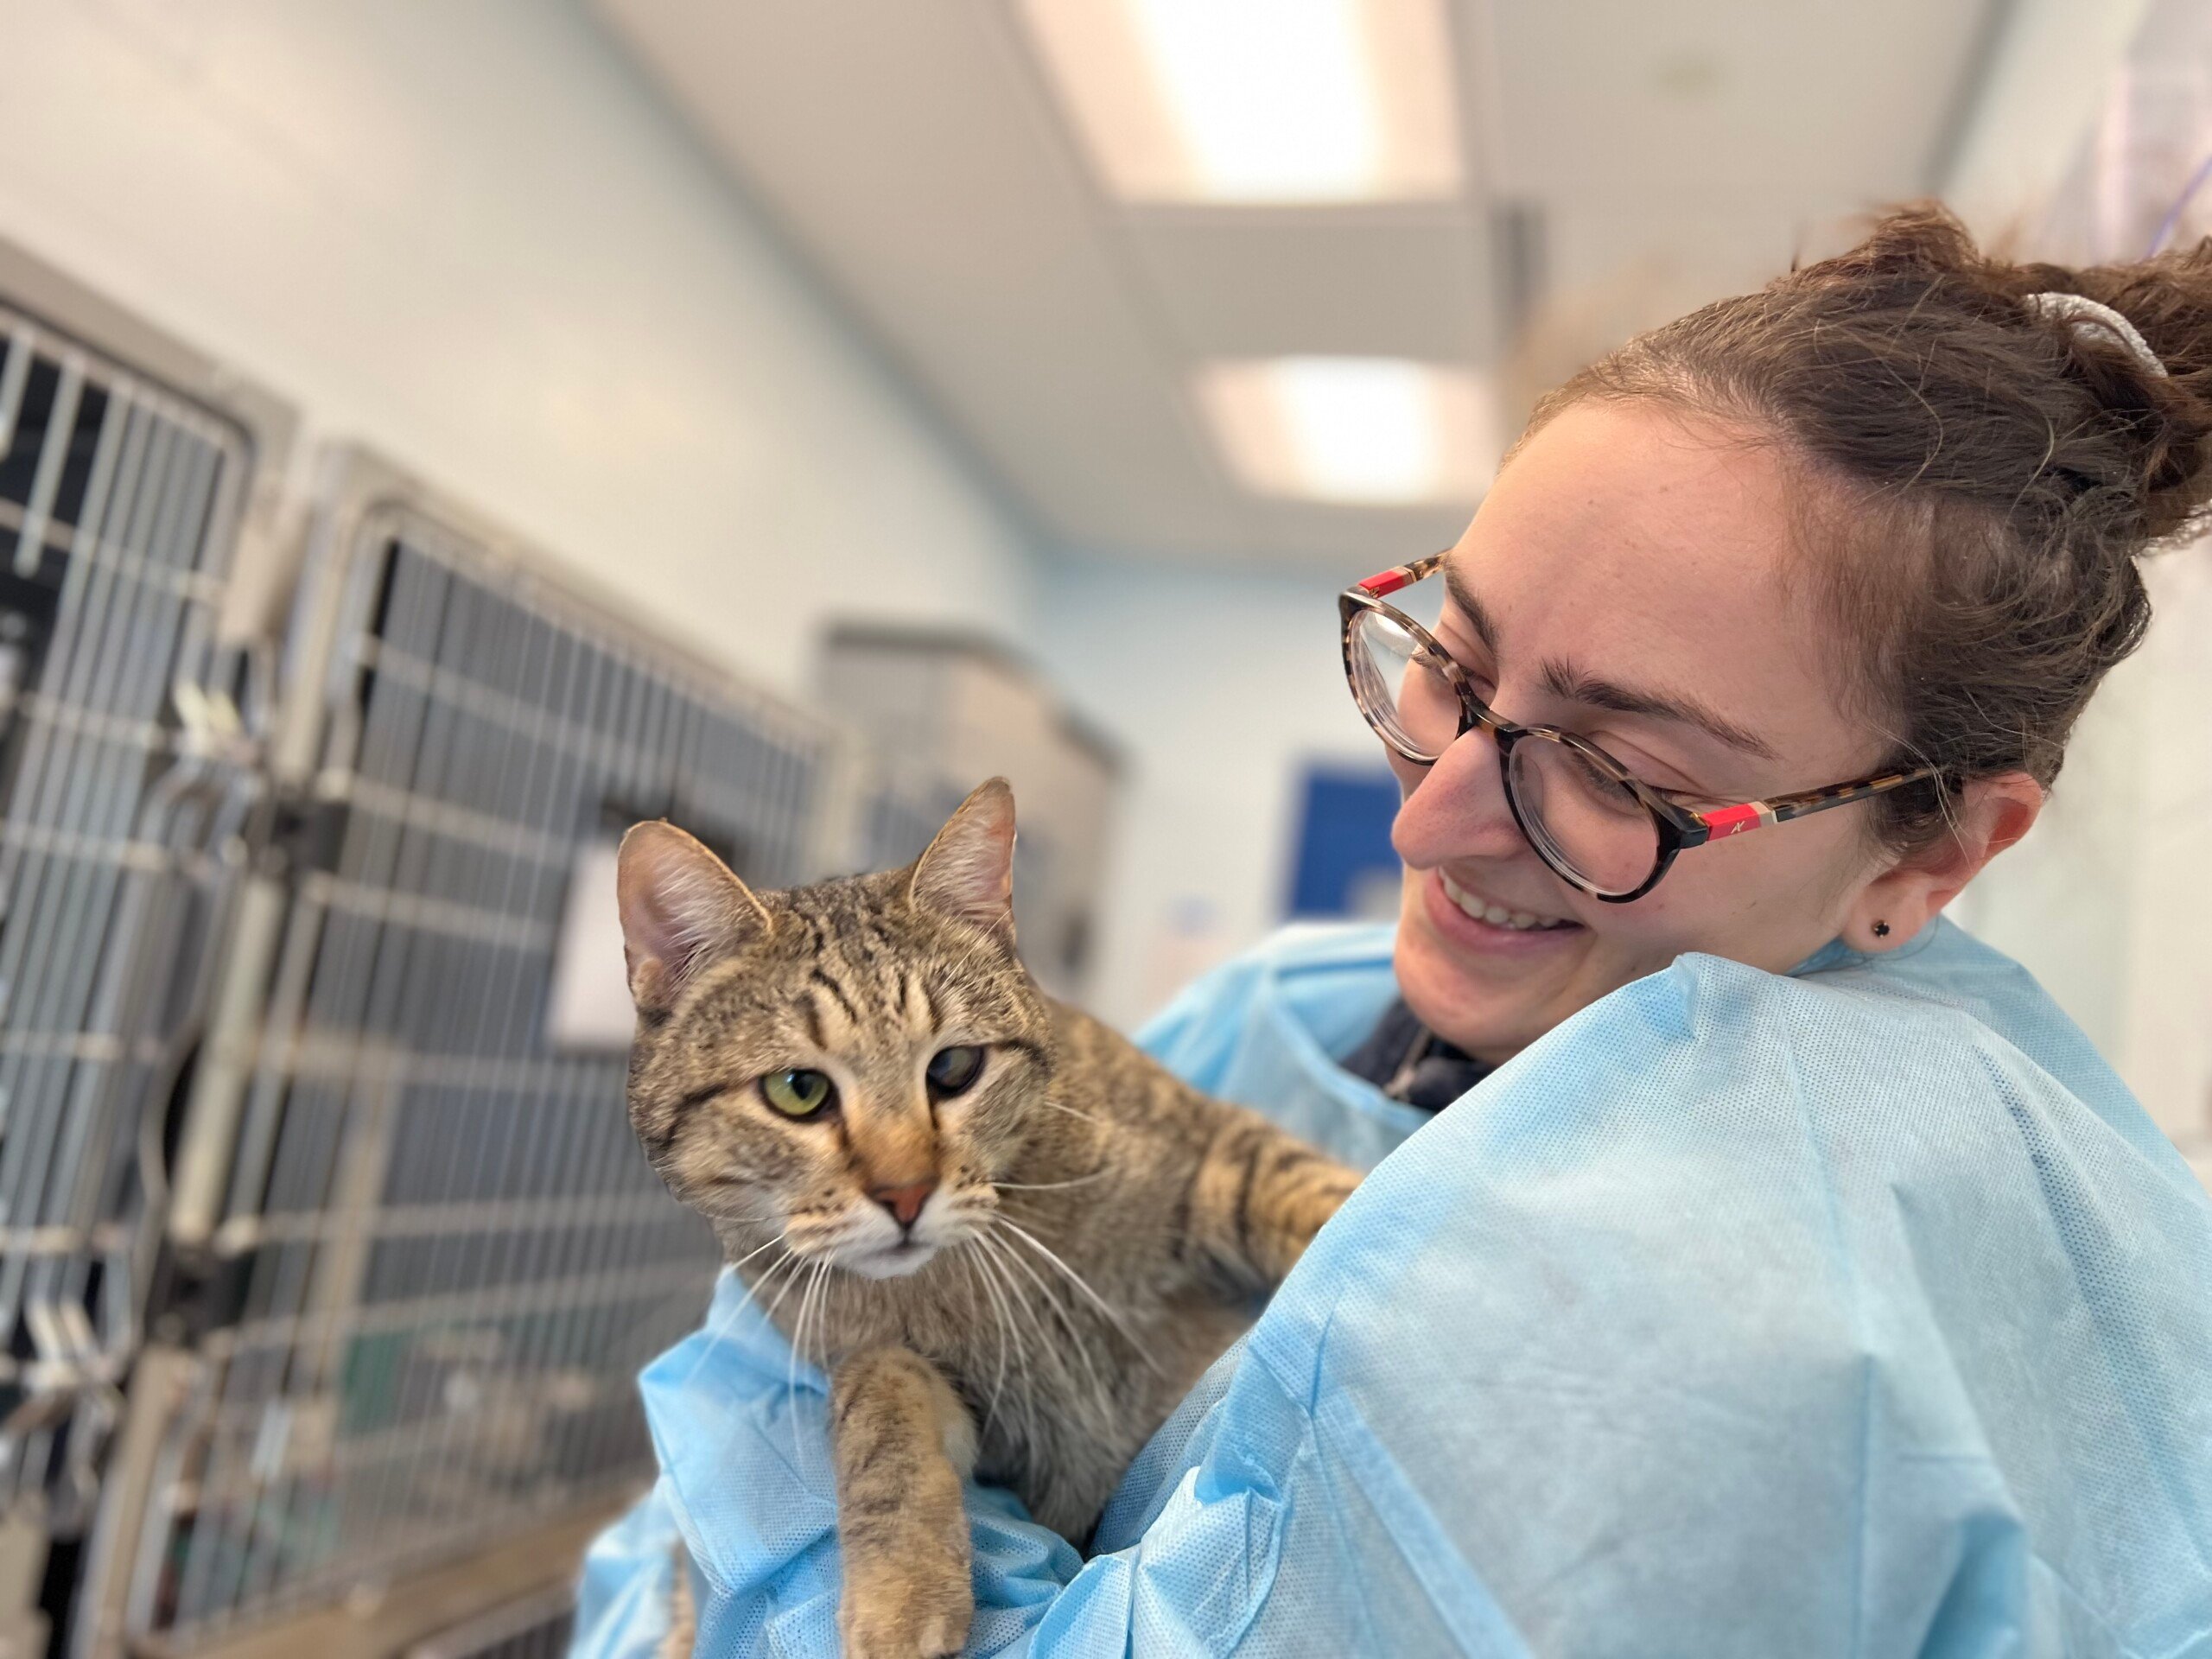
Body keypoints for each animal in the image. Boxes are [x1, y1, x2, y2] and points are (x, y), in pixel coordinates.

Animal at [614, 783, 1353, 1659]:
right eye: (799, 1090)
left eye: (955, 1068)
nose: (905, 1195)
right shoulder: (956, 1412)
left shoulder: (1215, 1145)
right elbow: (881, 1391)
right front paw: (901, 1592)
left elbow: (1307, 1192)